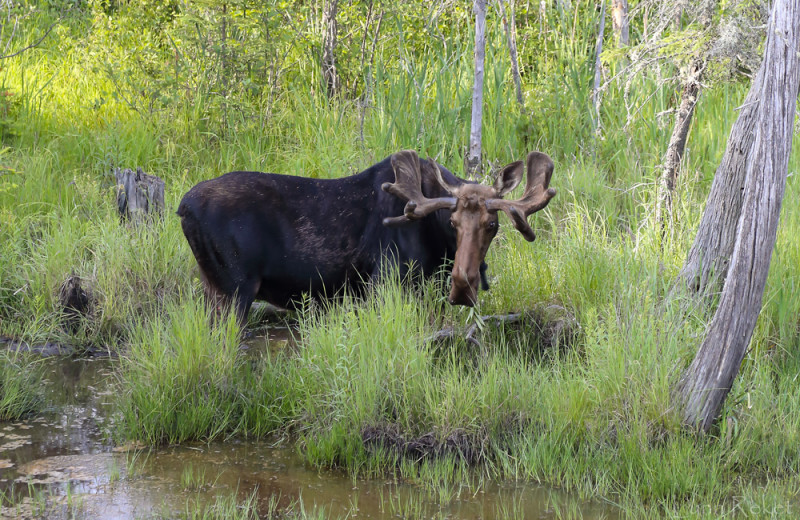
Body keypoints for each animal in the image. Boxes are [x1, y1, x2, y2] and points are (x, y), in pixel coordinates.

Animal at [179, 148, 556, 322]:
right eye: (452, 222)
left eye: (492, 225)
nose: (463, 284)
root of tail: (183, 208)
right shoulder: (385, 283)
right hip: (234, 291)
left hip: (212, 288)